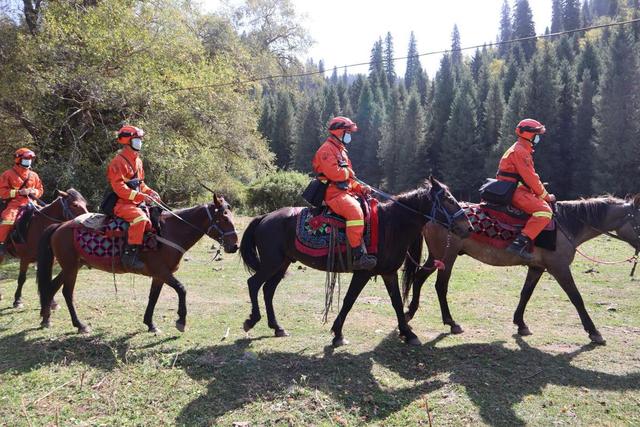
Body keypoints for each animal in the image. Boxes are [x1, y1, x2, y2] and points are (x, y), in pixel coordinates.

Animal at [37, 194, 238, 334]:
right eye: (224, 218)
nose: (235, 246)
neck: (169, 232)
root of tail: (59, 226)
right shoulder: (163, 272)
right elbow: (181, 289)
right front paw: (181, 321)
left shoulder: (159, 276)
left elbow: (153, 297)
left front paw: (150, 324)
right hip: (71, 268)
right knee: (67, 292)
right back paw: (80, 325)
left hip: (72, 266)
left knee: (52, 287)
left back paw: (46, 319)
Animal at [238, 177, 472, 348]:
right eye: (449, 199)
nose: (468, 227)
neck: (391, 224)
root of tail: (265, 217)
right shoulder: (364, 272)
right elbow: (349, 300)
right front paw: (338, 333)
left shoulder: (388, 272)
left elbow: (396, 302)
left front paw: (408, 332)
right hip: (271, 262)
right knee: (254, 284)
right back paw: (251, 320)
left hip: (282, 263)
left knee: (268, 289)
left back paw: (277, 327)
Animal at [402, 196, 640, 346]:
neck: (566, 225)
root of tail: (429, 214)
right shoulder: (560, 268)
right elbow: (576, 298)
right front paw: (594, 332)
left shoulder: (537, 268)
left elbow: (526, 294)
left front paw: (521, 324)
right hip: (447, 257)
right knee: (440, 286)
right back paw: (451, 323)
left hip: (436, 257)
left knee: (419, 278)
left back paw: (410, 312)